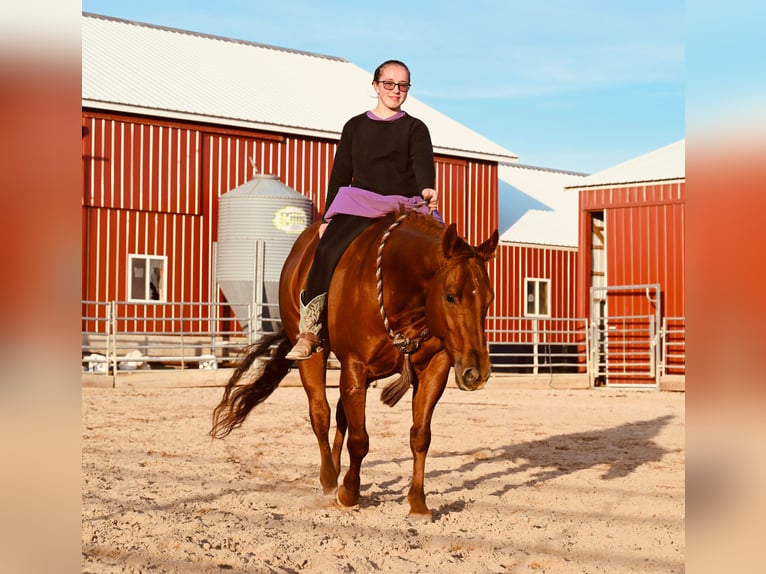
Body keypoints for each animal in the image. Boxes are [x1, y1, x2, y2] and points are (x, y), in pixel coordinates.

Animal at [212, 212, 498, 520]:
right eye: (450, 296)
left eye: (489, 299)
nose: (476, 372)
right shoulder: (355, 366)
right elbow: (359, 440)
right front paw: (349, 492)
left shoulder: (435, 368)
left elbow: (420, 436)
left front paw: (418, 502)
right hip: (314, 355)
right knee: (321, 412)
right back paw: (328, 478)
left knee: (340, 414)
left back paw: (336, 469)